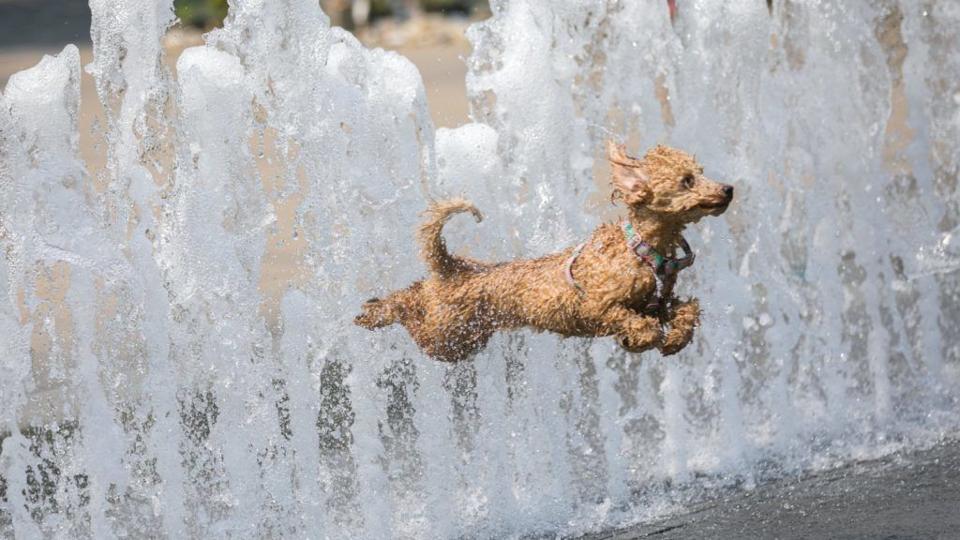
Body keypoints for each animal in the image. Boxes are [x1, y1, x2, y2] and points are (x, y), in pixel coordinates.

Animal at [356, 141, 732, 360]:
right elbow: (627, 318)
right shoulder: (597, 306)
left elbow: (687, 310)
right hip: (445, 337)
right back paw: (374, 312)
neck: (640, 249)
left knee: (416, 290)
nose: (728, 189)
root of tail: (452, 267)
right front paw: (642, 338)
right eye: (687, 181)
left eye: (700, 173)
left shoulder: (656, 303)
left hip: (462, 335)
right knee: (407, 307)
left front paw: (676, 338)